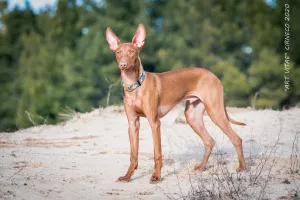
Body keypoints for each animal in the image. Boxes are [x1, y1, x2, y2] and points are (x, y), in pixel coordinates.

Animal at [105, 24, 246, 184]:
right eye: (118, 52)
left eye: (132, 52)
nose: (123, 64)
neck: (135, 86)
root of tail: (213, 74)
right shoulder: (132, 123)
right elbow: (133, 155)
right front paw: (128, 176)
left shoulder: (155, 122)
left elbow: (157, 152)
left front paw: (156, 176)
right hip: (192, 117)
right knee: (209, 141)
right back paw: (201, 167)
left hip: (215, 112)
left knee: (236, 139)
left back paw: (242, 168)